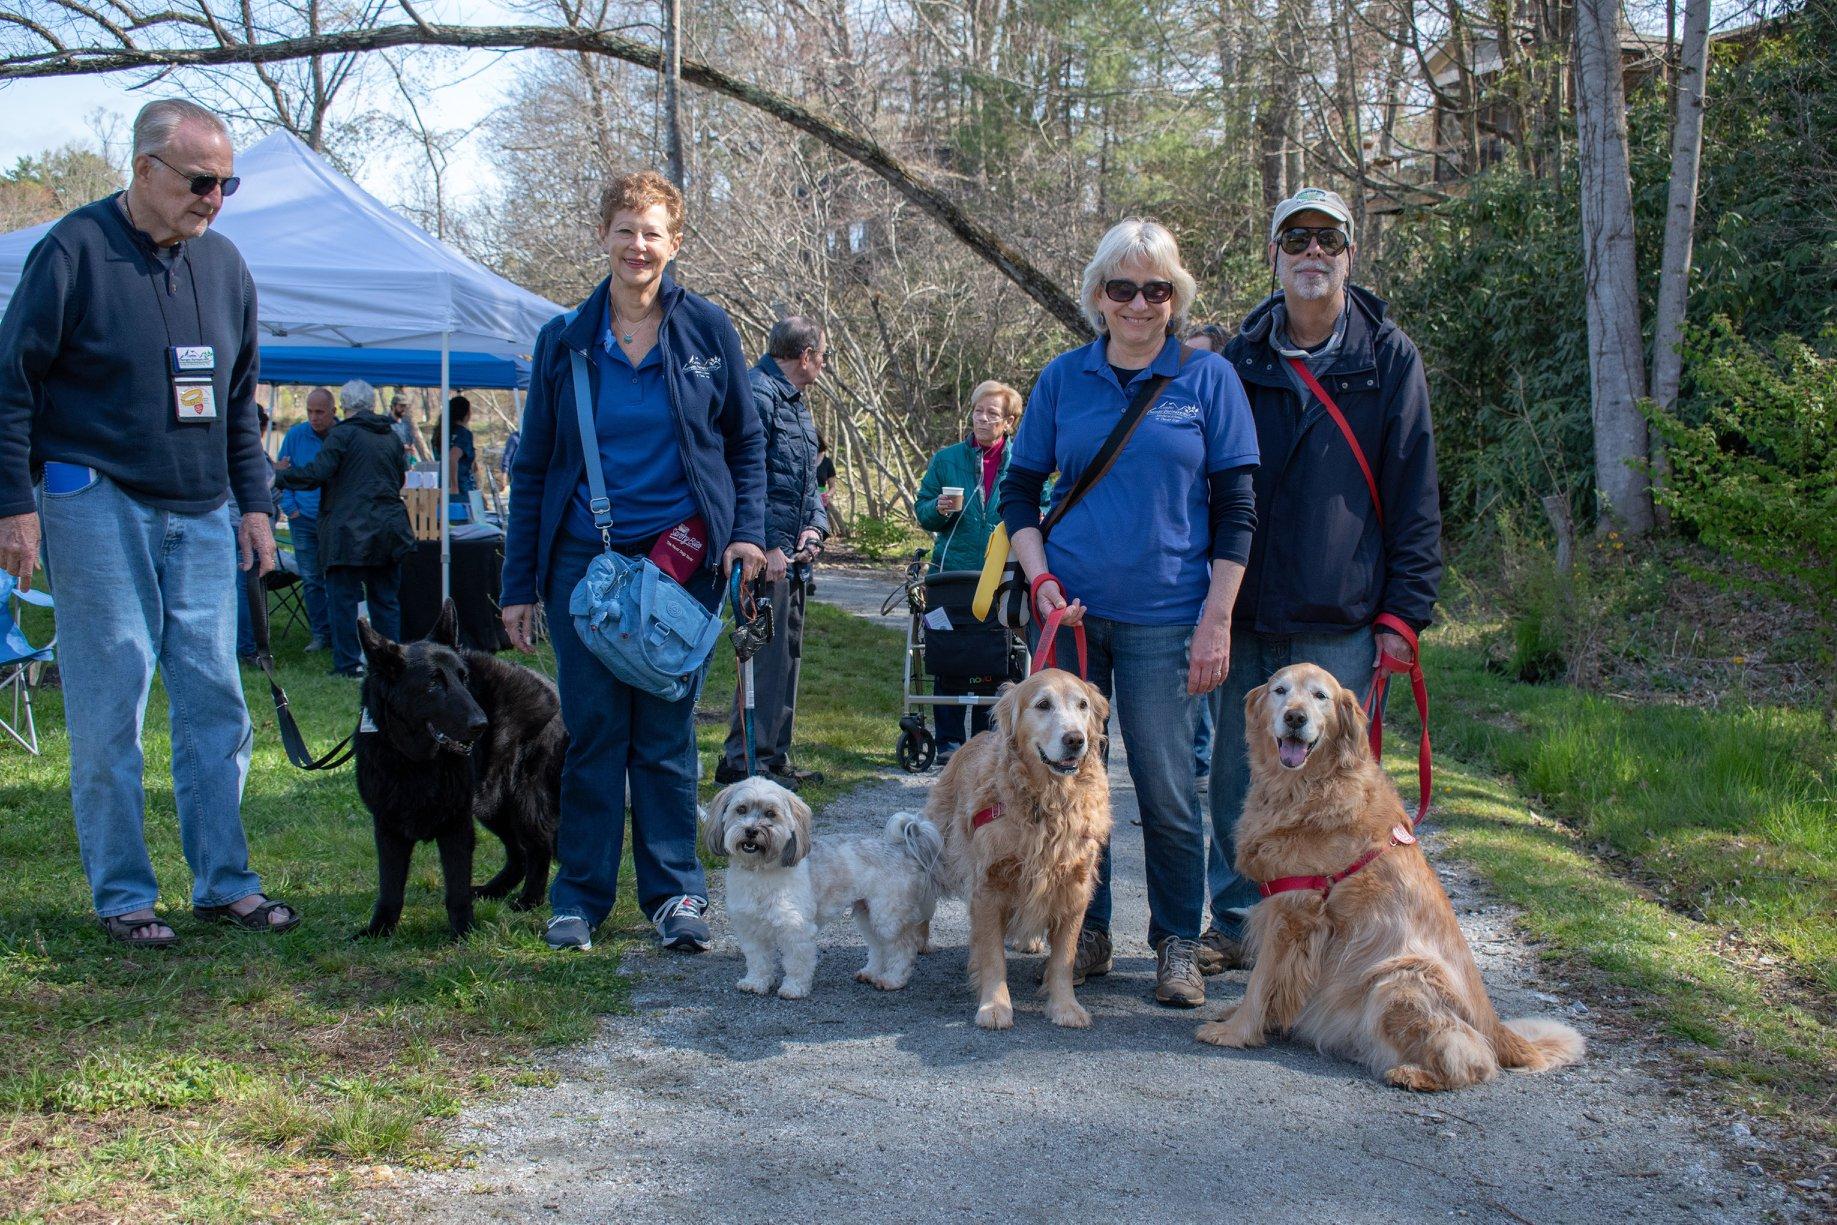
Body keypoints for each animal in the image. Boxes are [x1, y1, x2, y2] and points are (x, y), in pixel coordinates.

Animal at [354, 602, 562, 940]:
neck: (416, 762)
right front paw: (380, 929)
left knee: (537, 847)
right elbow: (390, 888)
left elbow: (457, 888)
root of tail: (548, 682)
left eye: (464, 679)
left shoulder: (456, 825)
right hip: (492, 805)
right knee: (518, 852)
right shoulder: (388, 827)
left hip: (519, 799)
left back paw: (529, 899)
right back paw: (495, 890)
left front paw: (464, 931)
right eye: (433, 684)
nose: (481, 725)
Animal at [694, 782, 940, 999]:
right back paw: (871, 973)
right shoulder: (750, 928)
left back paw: (892, 979)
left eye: (771, 813)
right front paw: (755, 983)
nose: (751, 830)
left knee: (902, 948)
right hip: (867, 913)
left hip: (888, 917)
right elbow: (758, 961)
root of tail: (903, 849)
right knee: (878, 946)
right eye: (741, 809)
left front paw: (794, 989)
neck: (760, 872)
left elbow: (796, 963)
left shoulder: (795, 928)